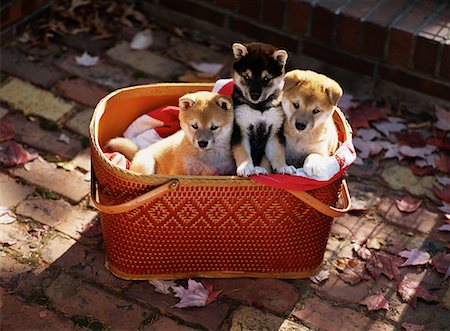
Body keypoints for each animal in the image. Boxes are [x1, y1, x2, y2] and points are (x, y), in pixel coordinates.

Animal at [106, 91, 236, 176]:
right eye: (194, 126)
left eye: (214, 127)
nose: (202, 143)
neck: (207, 157)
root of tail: (140, 150)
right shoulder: (180, 170)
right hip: (147, 164)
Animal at [232, 42, 296, 178]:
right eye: (246, 77)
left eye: (267, 78)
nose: (254, 95)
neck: (259, 108)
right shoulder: (240, 130)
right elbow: (243, 151)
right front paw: (245, 167)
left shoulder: (275, 132)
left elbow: (278, 152)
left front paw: (283, 167)